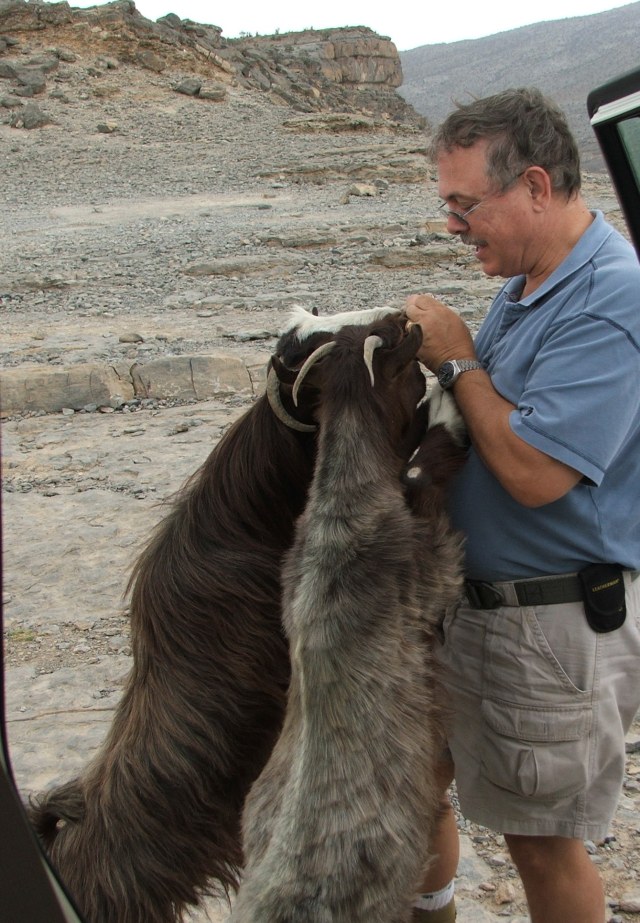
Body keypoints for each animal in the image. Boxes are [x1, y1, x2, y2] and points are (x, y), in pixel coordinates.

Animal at [231, 317, 465, 923]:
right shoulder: (432, 571)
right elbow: (418, 472)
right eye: (408, 371)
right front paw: (449, 410)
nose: (406, 320)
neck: (341, 507)